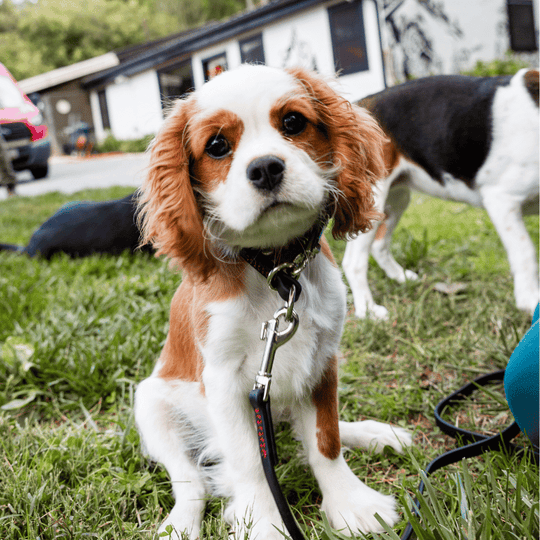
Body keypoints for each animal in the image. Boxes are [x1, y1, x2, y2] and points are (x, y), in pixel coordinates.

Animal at [133, 64, 412, 540]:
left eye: (294, 123)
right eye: (217, 146)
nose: (265, 167)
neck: (276, 272)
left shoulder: (321, 359)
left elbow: (326, 439)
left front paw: (351, 504)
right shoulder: (225, 380)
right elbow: (249, 461)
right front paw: (264, 521)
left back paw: (375, 434)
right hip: (151, 403)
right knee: (191, 481)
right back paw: (181, 524)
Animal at [344, 69, 536, 318]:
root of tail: (361, 103)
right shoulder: (502, 200)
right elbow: (525, 251)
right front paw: (530, 300)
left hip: (397, 198)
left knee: (379, 245)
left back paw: (401, 277)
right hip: (372, 201)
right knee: (353, 262)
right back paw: (368, 310)